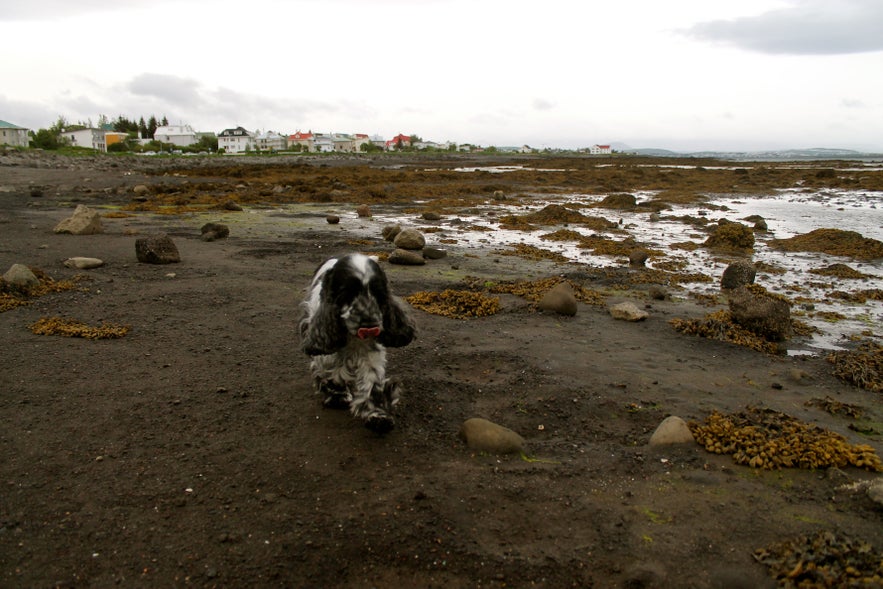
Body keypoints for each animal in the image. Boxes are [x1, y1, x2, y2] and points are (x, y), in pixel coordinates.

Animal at [300, 254, 418, 432]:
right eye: (347, 293)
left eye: (378, 293)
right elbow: (332, 371)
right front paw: (338, 396)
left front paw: (378, 416)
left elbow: (372, 380)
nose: (370, 326)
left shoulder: (371, 352)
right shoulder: (326, 347)